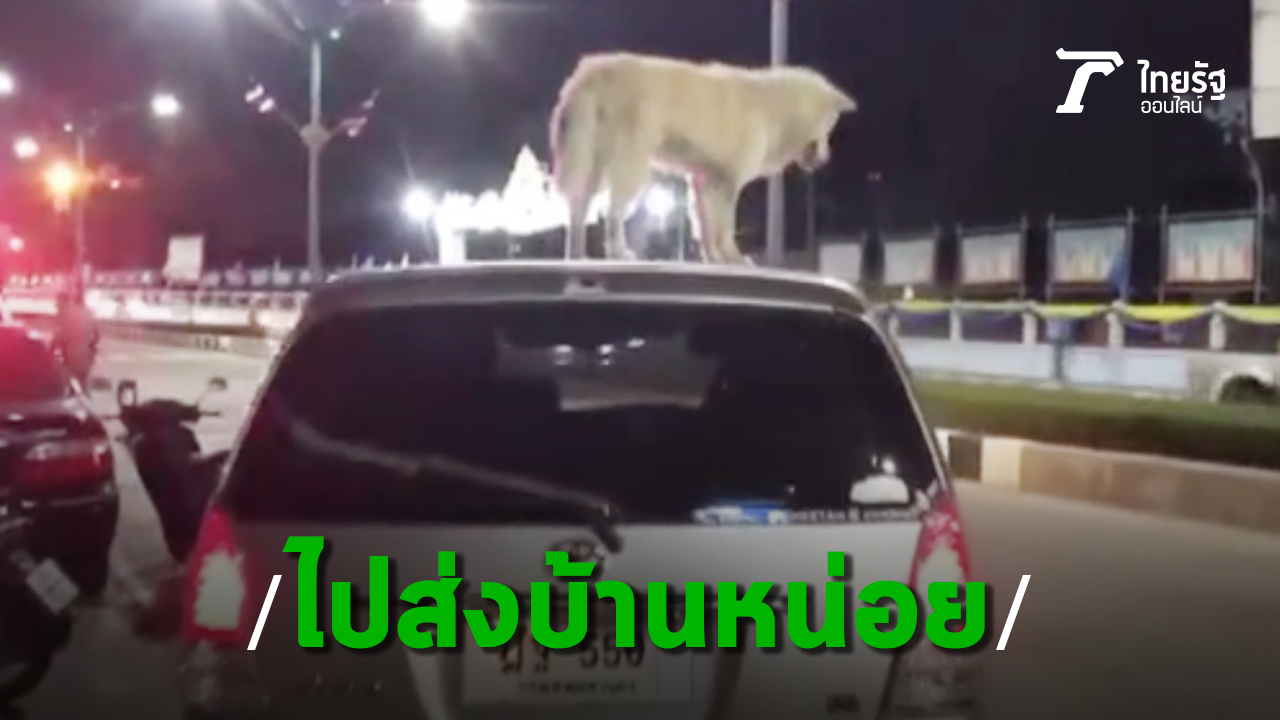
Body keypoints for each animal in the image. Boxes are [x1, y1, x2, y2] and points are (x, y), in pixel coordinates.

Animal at [550, 52, 856, 263]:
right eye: (830, 127)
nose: (826, 159)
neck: (777, 111)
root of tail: (591, 72)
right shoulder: (727, 182)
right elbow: (725, 228)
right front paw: (733, 258)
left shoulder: (703, 180)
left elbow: (707, 229)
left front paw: (715, 259)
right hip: (631, 169)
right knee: (611, 211)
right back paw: (618, 253)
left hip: (595, 164)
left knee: (579, 206)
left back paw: (575, 256)